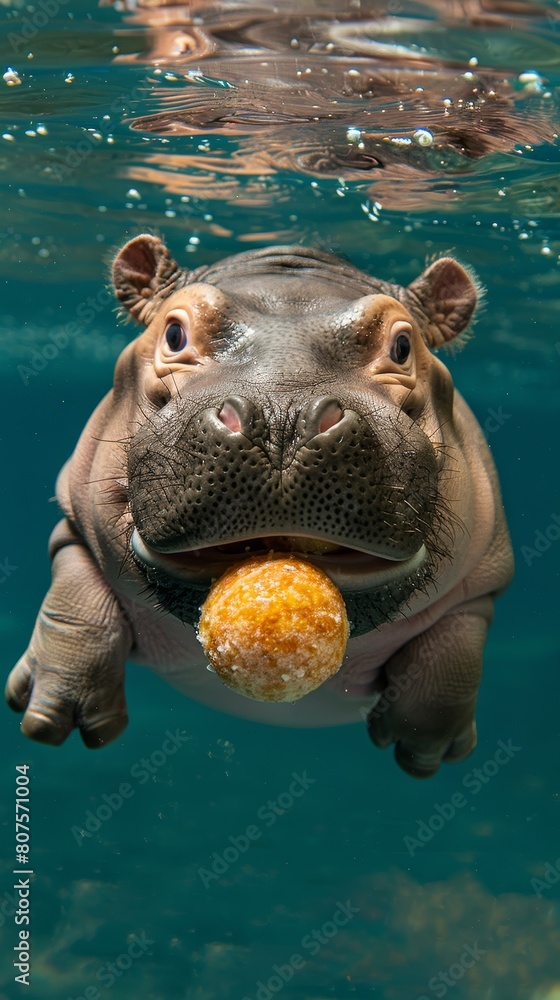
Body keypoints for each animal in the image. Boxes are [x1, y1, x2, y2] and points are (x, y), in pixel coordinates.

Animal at [6, 235, 513, 777]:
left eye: (402, 346)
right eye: (174, 333)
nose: (281, 416)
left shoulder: (485, 575)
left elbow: (454, 648)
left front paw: (423, 750)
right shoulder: (75, 519)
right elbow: (77, 602)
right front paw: (52, 717)